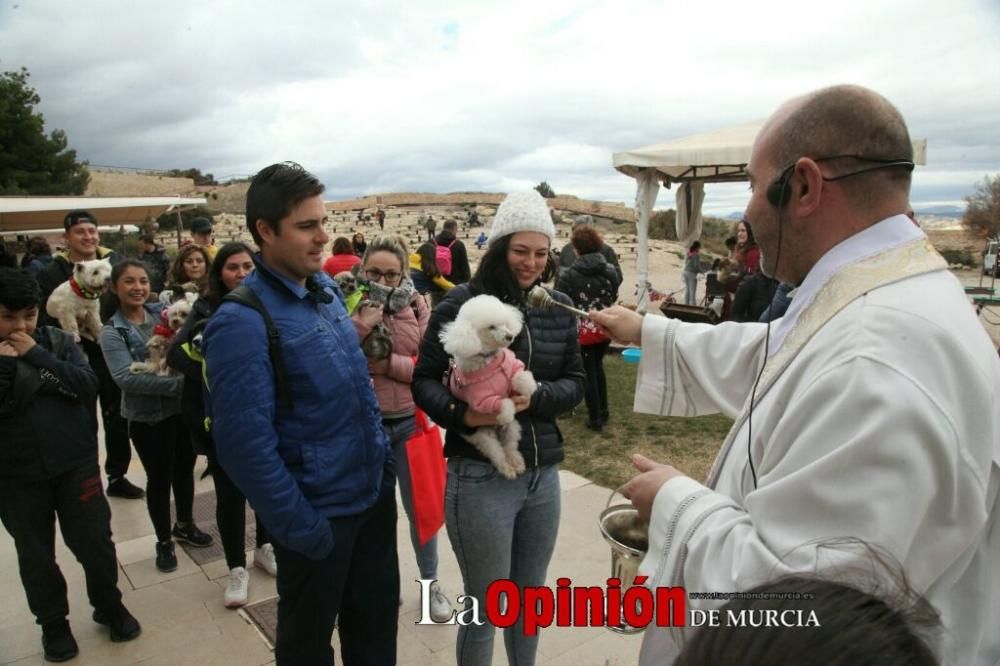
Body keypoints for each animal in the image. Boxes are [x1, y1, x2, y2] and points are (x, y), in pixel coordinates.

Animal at [444, 296, 540, 478]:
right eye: (491, 327)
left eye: (505, 323)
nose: (510, 336)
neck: (489, 362)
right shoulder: (481, 401)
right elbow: (503, 402)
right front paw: (505, 414)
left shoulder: (510, 370)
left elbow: (520, 375)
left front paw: (529, 386)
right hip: (484, 437)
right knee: (498, 454)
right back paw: (508, 468)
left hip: (512, 430)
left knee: (510, 447)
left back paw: (517, 463)